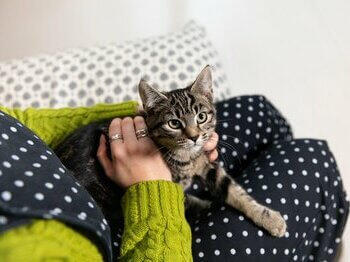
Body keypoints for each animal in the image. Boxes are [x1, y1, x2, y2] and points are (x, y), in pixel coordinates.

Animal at [55, 65, 288, 237]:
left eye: (201, 117)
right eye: (174, 123)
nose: (194, 137)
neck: (187, 158)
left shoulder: (207, 162)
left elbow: (234, 190)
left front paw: (268, 217)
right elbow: (182, 200)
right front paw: (208, 205)